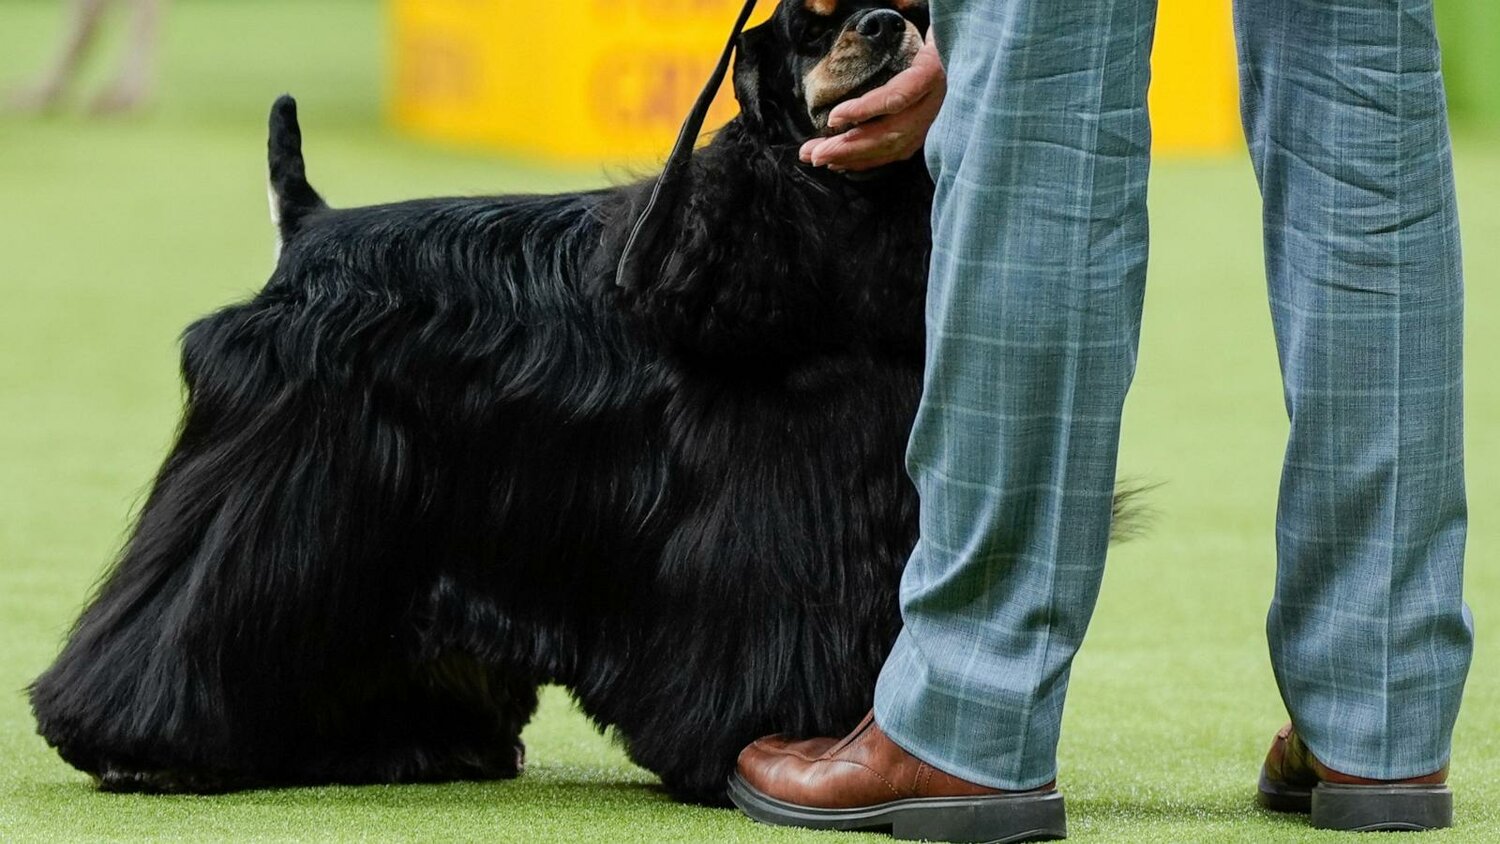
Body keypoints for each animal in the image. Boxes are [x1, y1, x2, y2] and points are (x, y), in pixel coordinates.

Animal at [26, 0, 1056, 803]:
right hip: (281, 474)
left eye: (916, 9)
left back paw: (416, 745)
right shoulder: (767, 519)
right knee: (182, 600)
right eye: (810, 20)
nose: (885, 27)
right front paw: (746, 744)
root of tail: (310, 228)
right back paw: (138, 747)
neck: (816, 231)